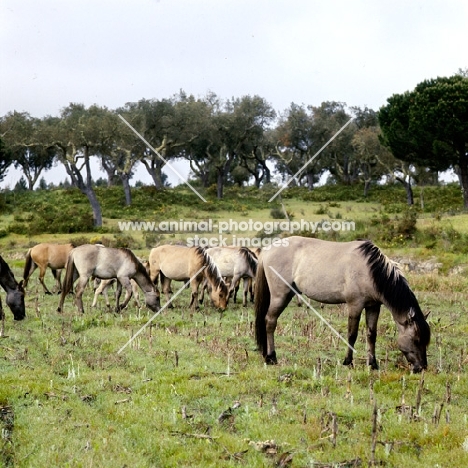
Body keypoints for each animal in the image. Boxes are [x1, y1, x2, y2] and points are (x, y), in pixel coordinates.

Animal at [256, 238, 432, 372]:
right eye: (416, 339)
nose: (422, 367)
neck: (370, 270)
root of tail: (267, 250)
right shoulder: (355, 305)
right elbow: (352, 335)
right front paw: (348, 361)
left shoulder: (373, 306)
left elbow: (371, 335)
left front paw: (373, 364)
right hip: (280, 296)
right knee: (270, 321)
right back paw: (271, 357)